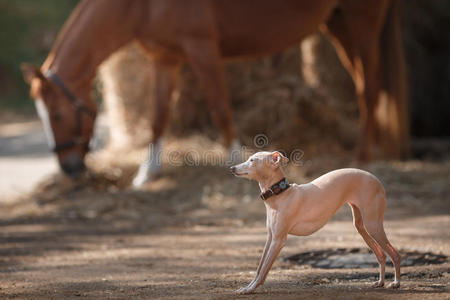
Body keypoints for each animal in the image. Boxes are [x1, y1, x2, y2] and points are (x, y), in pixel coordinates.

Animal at [20, 0, 408, 184]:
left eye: (57, 114)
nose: (69, 169)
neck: (140, 4)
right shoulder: (165, 60)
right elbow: (158, 118)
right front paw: (147, 175)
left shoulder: (202, 49)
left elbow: (221, 108)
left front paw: (237, 160)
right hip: (337, 22)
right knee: (366, 85)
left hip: (361, 23)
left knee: (369, 88)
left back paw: (363, 157)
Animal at [230, 151, 400, 294]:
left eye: (252, 160)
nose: (232, 168)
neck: (280, 195)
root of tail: (376, 179)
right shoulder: (270, 237)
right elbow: (260, 267)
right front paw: (248, 287)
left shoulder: (278, 240)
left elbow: (264, 268)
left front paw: (249, 289)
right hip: (361, 226)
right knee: (381, 255)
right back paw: (380, 282)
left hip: (372, 225)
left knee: (394, 254)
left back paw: (396, 283)